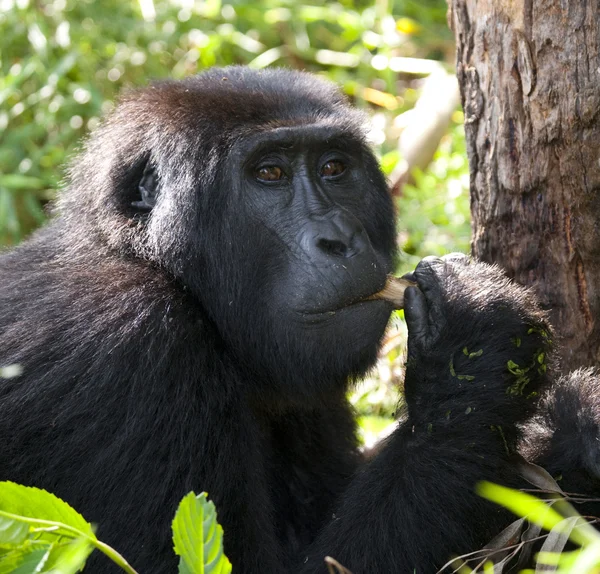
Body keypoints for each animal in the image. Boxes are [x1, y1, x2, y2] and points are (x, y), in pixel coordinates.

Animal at [0, 68, 596, 574]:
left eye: (334, 168)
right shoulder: (132, 346)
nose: (341, 239)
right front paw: (474, 354)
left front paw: (575, 429)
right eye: (270, 174)